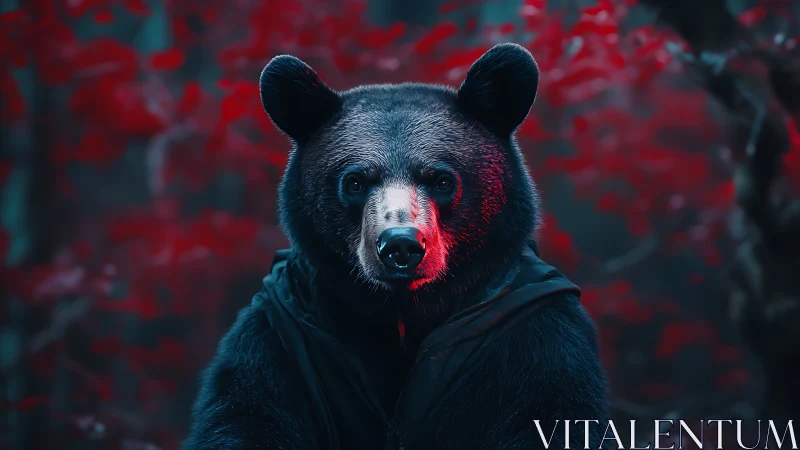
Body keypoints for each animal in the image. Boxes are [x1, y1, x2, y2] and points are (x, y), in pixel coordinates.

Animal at [183, 43, 610, 450]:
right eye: (355, 181)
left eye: (441, 180)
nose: (401, 245)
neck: (403, 313)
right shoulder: (282, 334)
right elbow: (245, 413)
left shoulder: (530, 329)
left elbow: (550, 411)